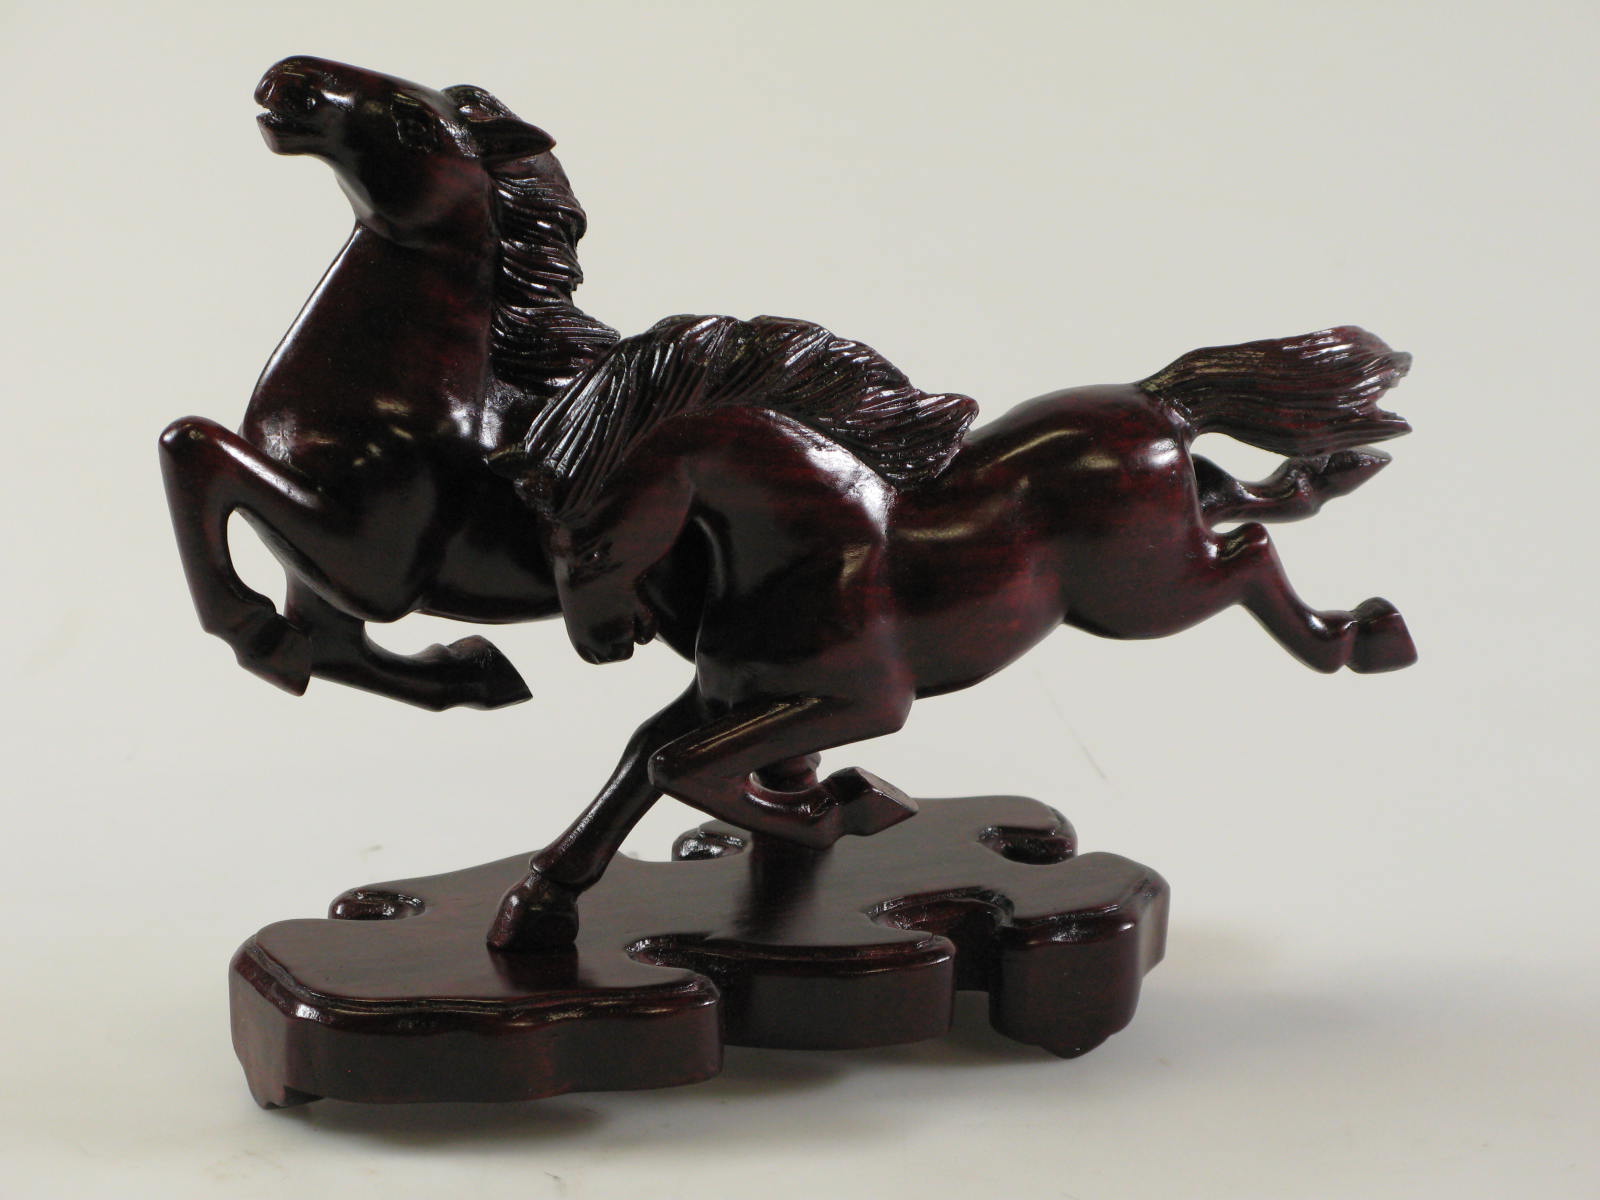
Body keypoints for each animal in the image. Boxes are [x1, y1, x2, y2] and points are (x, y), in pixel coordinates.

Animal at [159, 56, 634, 711]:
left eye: (417, 127)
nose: (290, 79)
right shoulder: (320, 585)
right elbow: (343, 657)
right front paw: (476, 670)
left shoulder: (370, 569)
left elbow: (194, 446)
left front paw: (255, 633)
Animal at [484, 316, 1415, 950]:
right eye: (542, 543)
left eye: (592, 543)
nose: (605, 645)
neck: (805, 546)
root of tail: (1157, 403)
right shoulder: (727, 693)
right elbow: (647, 757)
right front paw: (533, 912)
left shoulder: (862, 701)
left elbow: (680, 766)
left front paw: (847, 804)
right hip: (1161, 560)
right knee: (1244, 500)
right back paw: (1337, 481)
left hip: (1147, 598)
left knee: (1252, 547)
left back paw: (1368, 638)